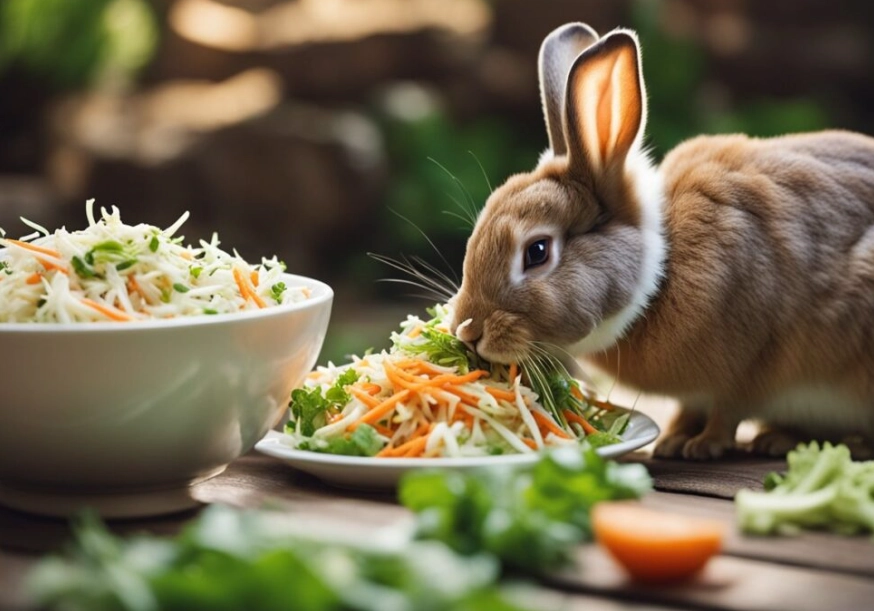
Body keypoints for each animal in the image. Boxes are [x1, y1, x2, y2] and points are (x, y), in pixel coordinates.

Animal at [448, 22, 874, 460]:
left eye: (536, 252)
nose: (467, 332)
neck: (662, 269)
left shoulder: (746, 363)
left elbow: (727, 410)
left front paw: (704, 446)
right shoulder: (698, 390)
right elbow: (691, 407)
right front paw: (672, 440)